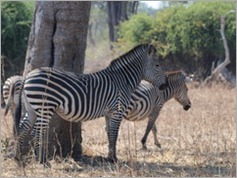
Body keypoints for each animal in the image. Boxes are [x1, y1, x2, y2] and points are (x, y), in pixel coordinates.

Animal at [14, 43, 167, 165]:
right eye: (157, 65)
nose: (164, 86)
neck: (123, 80)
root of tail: (28, 75)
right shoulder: (117, 112)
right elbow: (115, 134)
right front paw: (114, 159)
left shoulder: (109, 113)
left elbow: (109, 133)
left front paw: (110, 157)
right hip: (44, 107)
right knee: (37, 131)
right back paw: (42, 161)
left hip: (32, 108)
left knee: (23, 129)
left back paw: (18, 158)